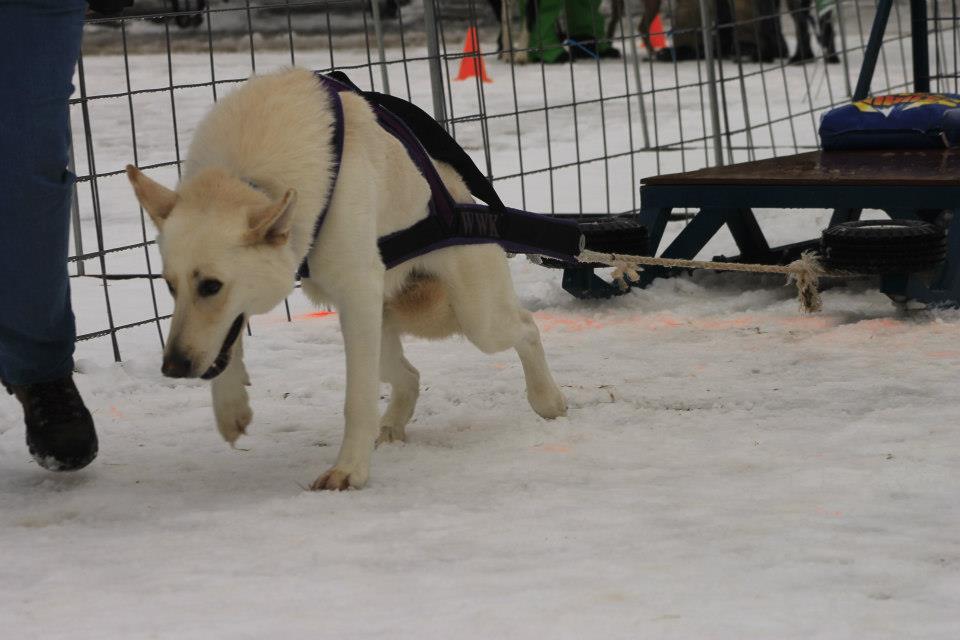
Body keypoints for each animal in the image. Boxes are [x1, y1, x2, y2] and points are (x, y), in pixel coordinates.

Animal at [124, 69, 568, 490]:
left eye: (211, 286)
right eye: (169, 286)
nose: (173, 367)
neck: (246, 175)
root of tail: (463, 198)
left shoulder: (355, 293)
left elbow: (356, 401)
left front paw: (349, 471)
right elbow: (227, 342)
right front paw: (231, 406)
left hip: (474, 319)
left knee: (526, 328)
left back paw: (548, 400)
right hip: (384, 326)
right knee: (408, 376)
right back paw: (391, 426)